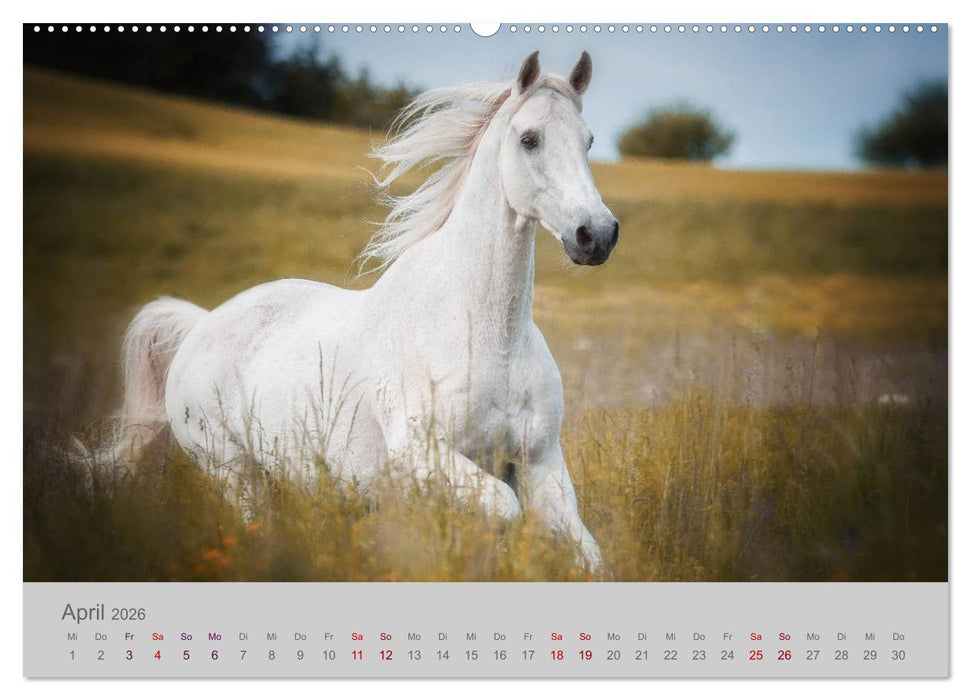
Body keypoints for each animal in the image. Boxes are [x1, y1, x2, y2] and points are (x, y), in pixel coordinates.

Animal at [107, 51, 619, 572]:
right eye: (529, 139)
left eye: (589, 141)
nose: (596, 235)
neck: (486, 332)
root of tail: (199, 326)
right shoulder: (422, 456)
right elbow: (505, 511)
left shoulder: (540, 461)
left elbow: (584, 551)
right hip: (232, 470)